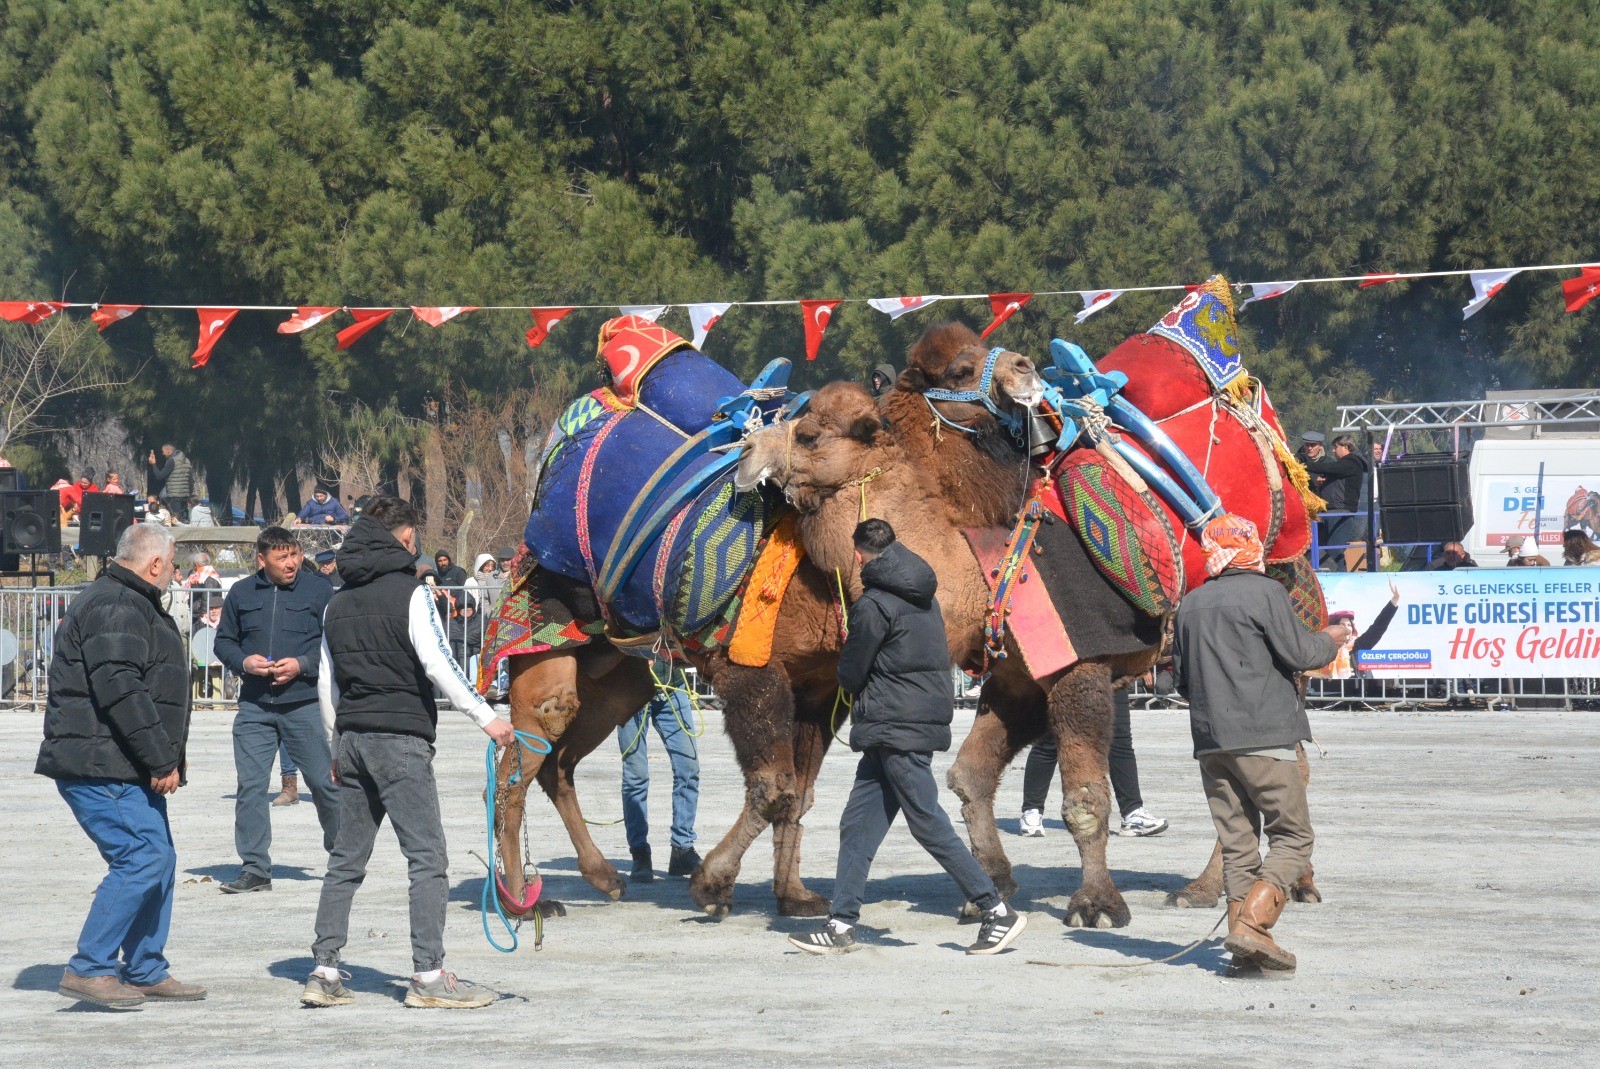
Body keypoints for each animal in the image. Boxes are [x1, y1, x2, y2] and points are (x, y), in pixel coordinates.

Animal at [486, 334, 1043, 921]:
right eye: (961, 368)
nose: (1025, 366)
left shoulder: (820, 687)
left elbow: (800, 793)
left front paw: (794, 897)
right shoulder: (748, 669)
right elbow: (773, 788)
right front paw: (712, 885)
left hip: (621, 676)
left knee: (559, 764)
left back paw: (602, 877)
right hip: (544, 641)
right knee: (515, 768)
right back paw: (521, 902)